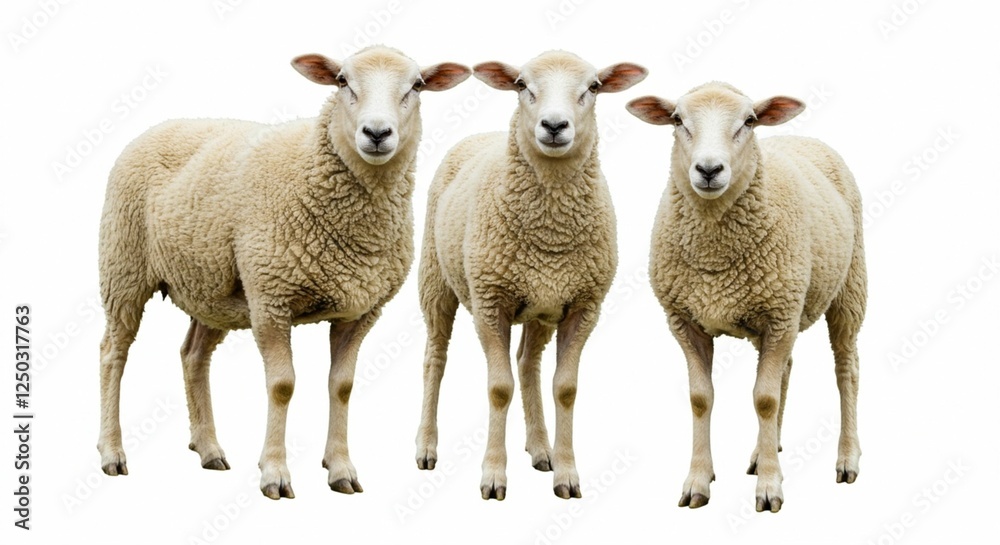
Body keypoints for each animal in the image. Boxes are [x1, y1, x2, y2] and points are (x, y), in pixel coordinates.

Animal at [96, 45, 470, 499]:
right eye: (342, 81)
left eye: (416, 86)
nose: (377, 133)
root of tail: (161, 125)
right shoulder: (271, 299)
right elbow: (282, 385)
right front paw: (274, 473)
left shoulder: (359, 311)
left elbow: (342, 386)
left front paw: (341, 469)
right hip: (124, 266)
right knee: (113, 353)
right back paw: (112, 452)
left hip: (212, 289)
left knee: (193, 356)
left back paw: (209, 449)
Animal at [413, 50, 647, 500]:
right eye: (521, 84)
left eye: (593, 87)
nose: (554, 126)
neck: (549, 231)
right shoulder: (490, 303)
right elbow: (498, 387)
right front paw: (493, 476)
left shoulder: (583, 306)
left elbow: (565, 389)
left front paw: (567, 474)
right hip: (435, 280)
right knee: (435, 358)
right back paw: (426, 446)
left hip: (541, 305)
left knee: (527, 363)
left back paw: (540, 449)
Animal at [626, 82, 866, 512]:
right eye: (678, 120)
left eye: (749, 121)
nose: (708, 170)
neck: (714, 253)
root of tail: (803, 137)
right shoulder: (686, 321)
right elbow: (701, 398)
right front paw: (698, 481)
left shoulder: (779, 316)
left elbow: (763, 399)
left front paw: (770, 488)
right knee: (787, 369)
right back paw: (763, 452)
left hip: (848, 288)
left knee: (846, 371)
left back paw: (847, 459)